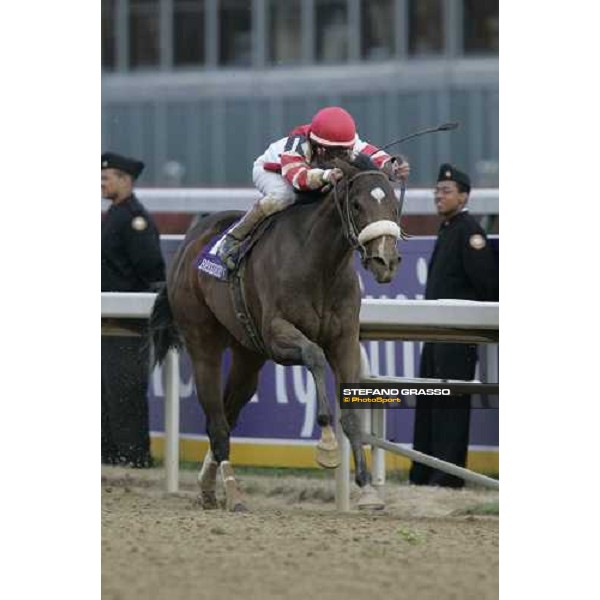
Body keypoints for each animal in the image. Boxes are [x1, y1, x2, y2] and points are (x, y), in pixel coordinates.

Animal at [150, 155, 404, 510]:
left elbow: (352, 410)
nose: (385, 260)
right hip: (202, 340)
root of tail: (188, 243)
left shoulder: (344, 342)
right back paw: (233, 493)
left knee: (229, 412)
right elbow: (313, 355)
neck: (320, 265)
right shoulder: (277, 335)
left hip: (247, 355)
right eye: (356, 204)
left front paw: (367, 488)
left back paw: (207, 486)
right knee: (217, 422)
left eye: (393, 204)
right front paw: (327, 446)